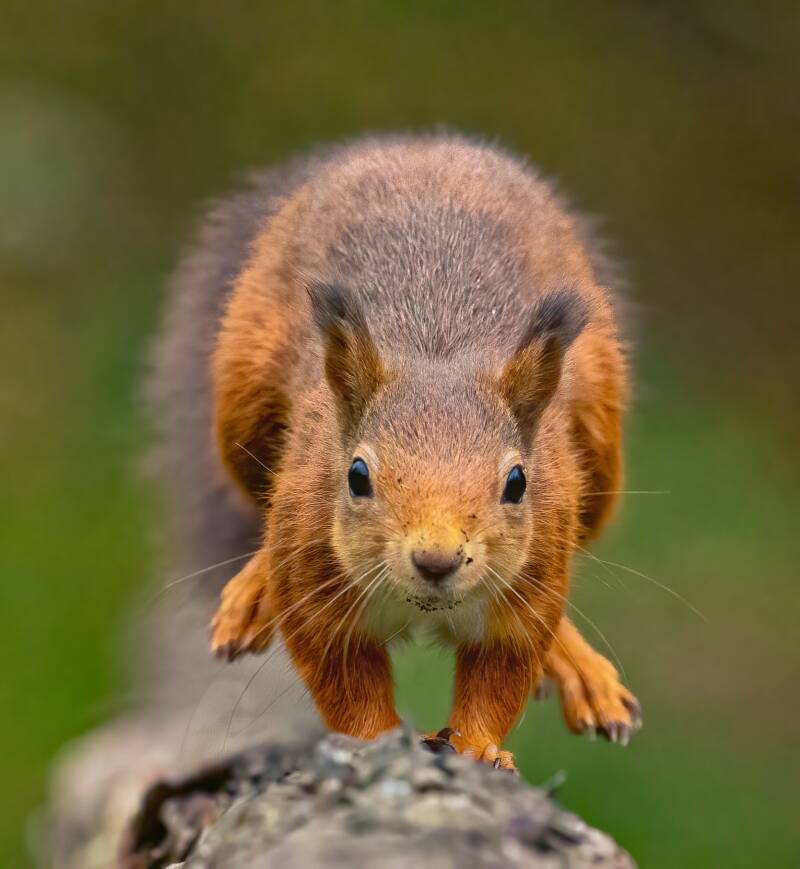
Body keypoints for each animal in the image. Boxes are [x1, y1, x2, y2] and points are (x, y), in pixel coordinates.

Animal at [159, 134, 640, 771]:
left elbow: (501, 676)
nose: (437, 560)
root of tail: (420, 146)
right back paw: (252, 594)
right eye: (356, 476)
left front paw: (481, 747)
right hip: (241, 393)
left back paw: (580, 668)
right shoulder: (312, 580)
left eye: (518, 483)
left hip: (601, 442)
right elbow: (343, 682)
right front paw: (373, 741)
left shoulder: (531, 586)